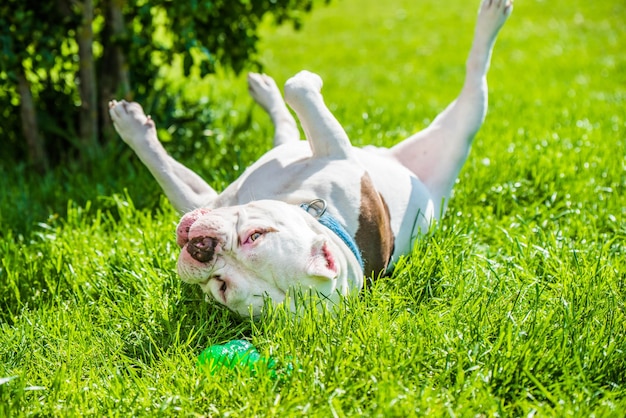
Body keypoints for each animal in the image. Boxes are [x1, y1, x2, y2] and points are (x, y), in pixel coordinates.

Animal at [108, 0, 512, 316]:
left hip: (457, 137)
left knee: (475, 82)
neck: (315, 208)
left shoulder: (333, 150)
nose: (202, 249)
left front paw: (129, 124)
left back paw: (492, 18)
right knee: (286, 129)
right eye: (255, 234)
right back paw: (263, 88)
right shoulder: (214, 199)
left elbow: (298, 88)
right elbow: (167, 172)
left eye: (221, 286)